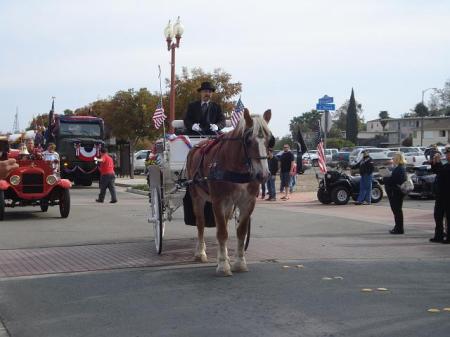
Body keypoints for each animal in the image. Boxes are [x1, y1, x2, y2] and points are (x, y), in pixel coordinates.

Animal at [185, 109, 270, 274]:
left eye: (270, 140)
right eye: (248, 140)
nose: (262, 175)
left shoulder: (248, 202)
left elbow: (240, 232)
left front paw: (239, 262)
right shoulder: (218, 201)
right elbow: (222, 233)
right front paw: (223, 265)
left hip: (229, 204)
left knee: (222, 222)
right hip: (197, 197)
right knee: (200, 223)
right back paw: (200, 252)